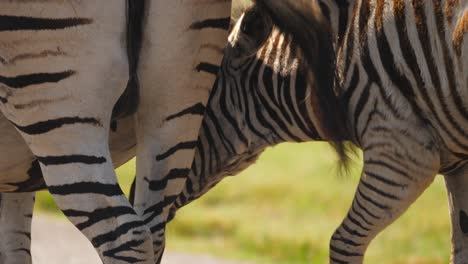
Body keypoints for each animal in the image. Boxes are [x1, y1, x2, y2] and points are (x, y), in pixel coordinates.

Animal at [0, 1, 230, 262]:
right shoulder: (17, 180)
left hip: (57, 106)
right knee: (154, 230)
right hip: (177, 107)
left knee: (126, 238)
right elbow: (14, 247)